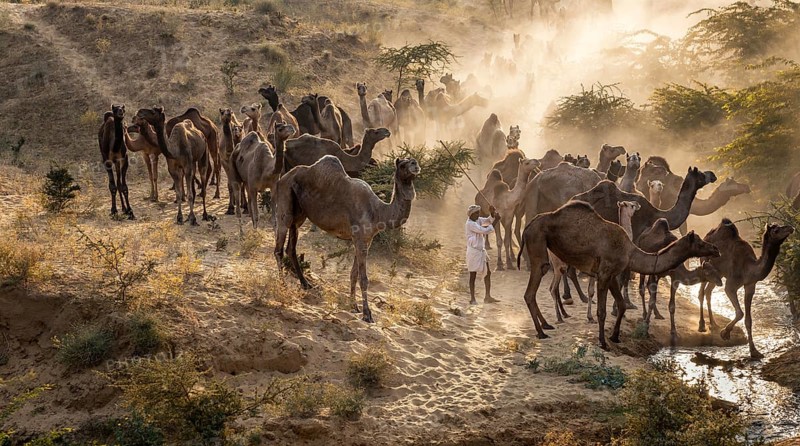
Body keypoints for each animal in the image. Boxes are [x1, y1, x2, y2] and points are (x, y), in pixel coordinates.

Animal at [274, 156, 420, 322]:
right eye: (402, 165)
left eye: (413, 160)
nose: (415, 164)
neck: (378, 212)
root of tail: (282, 178)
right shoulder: (360, 239)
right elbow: (364, 279)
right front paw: (367, 314)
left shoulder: (365, 240)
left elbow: (353, 274)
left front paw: (353, 306)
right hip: (285, 201)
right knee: (279, 248)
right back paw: (283, 286)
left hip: (299, 215)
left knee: (291, 247)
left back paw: (306, 284)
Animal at [517, 201, 720, 348]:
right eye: (700, 242)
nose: (715, 249)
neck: (630, 251)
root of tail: (528, 225)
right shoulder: (604, 273)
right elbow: (601, 311)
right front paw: (602, 342)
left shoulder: (613, 275)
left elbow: (621, 305)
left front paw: (614, 337)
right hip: (537, 244)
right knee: (531, 290)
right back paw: (541, 332)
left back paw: (546, 325)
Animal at [697, 219, 794, 359]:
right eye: (776, 230)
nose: (791, 228)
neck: (748, 268)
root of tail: (707, 235)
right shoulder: (731, 285)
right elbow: (740, 313)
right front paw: (725, 333)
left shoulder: (750, 285)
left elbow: (749, 320)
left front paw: (755, 351)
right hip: (705, 264)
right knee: (701, 292)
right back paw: (702, 326)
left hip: (718, 274)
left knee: (708, 292)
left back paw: (714, 324)